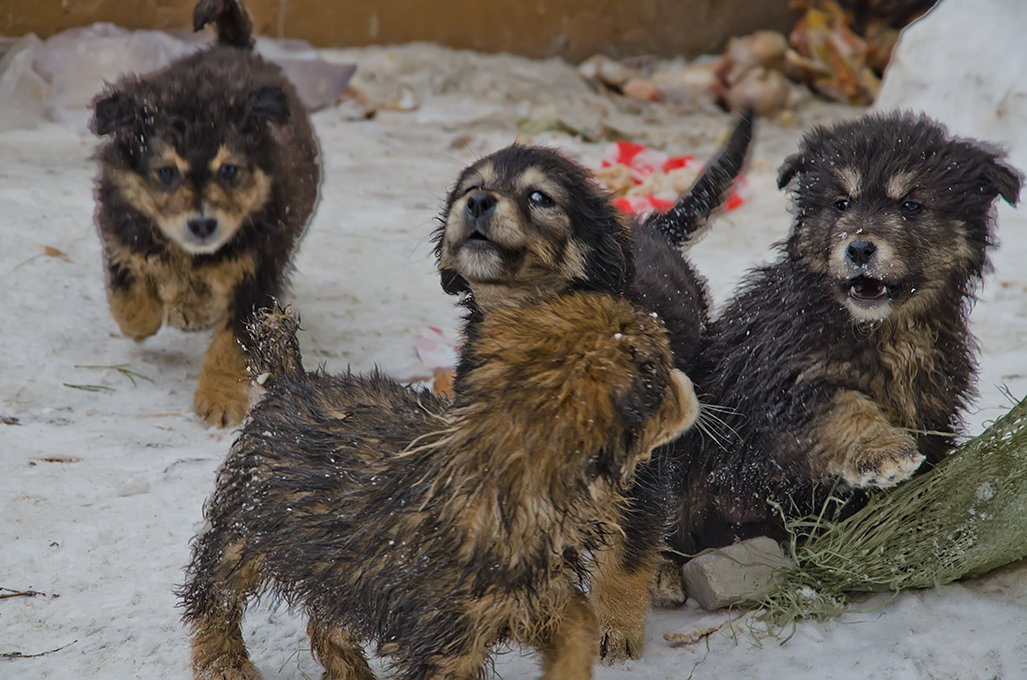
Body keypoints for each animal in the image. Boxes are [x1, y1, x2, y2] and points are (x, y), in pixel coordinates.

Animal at [90, 0, 318, 427]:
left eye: (228, 170)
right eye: (166, 172)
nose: (202, 224)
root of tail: (234, 47)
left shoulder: (255, 274)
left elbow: (231, 345)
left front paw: (220, 400)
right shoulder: (124, 232)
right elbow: (130, 297)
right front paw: (142, 323)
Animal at [178, 293, 698, 680]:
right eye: (657, 371)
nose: (691, 386)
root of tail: (290, 383)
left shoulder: (529, 596)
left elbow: (577, 629)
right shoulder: (448, 641)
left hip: (343, 565)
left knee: (328, 620)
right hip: (246, 526)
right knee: (214, 595)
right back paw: (223, 663)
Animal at [433, 114, 755, 661]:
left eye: (539, 197)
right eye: (471, 188)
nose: (476, 203)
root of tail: (651, 228)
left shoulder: (639, 472)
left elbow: (625, 555)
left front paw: (615, 631)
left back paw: (666, 574)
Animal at [673, 110, 1018, 558]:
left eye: (911, 205)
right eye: (842, 203)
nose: (858, 249)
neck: (883, 329)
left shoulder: (936, 404)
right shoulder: (784, 381)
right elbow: (843, 407)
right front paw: (884, 451)